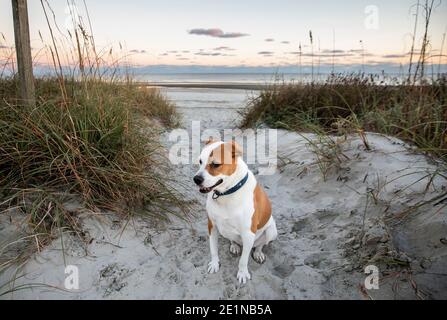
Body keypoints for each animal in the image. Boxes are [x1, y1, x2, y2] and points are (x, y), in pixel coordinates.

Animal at [194, 139, 278, 284]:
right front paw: (214, 264)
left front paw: (243, 273)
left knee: (260, 244)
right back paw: (234, 246)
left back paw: (258, 253)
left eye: (215, 164)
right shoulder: (212, 226)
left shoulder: (248, 234)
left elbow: (243, 260)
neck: (227, 193)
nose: (196, 179)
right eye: (200, 161)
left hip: (271, 231)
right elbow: (213, 249)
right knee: (232, 239)